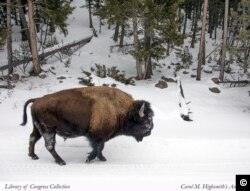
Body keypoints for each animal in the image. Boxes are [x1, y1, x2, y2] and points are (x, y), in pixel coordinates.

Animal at [21, 86, 154, 166]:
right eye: (144, 120)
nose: (150, 130)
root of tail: (37, 100)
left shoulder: (102, 136)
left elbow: (101, 147)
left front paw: (102, 158)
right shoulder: (94, 135)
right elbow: (96, 148)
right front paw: (88, 159)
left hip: (38, 128)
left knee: (33, 138)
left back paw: (33, 156)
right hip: (48, 129)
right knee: (49, 145)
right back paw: (61, 161)